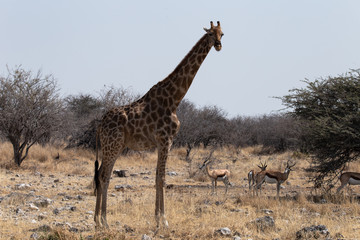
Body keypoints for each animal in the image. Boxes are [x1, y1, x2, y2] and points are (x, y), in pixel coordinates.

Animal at [93, 21, 222, 229]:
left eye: (222, 34)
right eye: (210, 33)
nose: (218, 45)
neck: (174, 99)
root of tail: (100, 126)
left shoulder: (163, 142)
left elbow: (156, 177)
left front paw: (157, 219)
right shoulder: (165, 140)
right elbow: (161, 178)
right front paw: (164, 220)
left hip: (112, 146)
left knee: (100, 175)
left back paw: (98, 221)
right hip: (113, 146)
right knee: (104, 176)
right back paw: (103, 221)